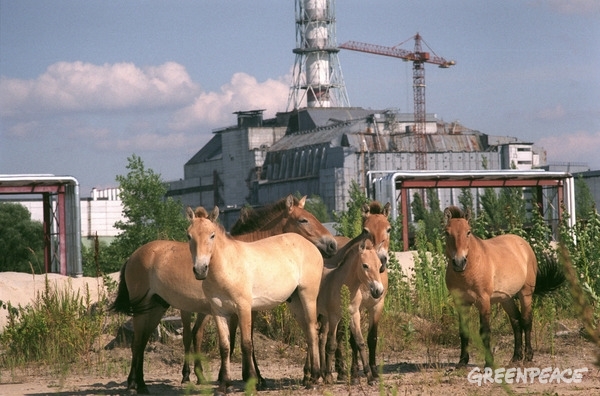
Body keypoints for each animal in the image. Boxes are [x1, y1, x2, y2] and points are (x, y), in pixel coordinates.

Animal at [110, 195, 336, 392]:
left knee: (144, 341)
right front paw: (248, 379)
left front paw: (245, 379)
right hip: (146, 308)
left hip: (157, 307)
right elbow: (239, 343)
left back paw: (141, 384)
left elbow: (241, 342)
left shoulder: (243, 309)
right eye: (303, 219)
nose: (332, 244)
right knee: (139, 342)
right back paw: (137, 384)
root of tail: (133, 256)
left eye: (309, 216)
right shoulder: (232, 310)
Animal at [318, 230, 384, 386]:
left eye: (379, 266)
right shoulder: (334, 317)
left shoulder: (354, 315)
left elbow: (360, 342)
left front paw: (370, 377)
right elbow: (332, 344)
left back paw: (320, 373)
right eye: (365, 265)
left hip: (324, 317)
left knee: (321, 338)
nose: (378, 291)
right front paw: (329, 376)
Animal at [442, 206, 564, 366]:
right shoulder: (461, 303)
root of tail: (524, 244)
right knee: (516, 321)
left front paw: (489, 363)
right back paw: (516, 356)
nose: (459, 262)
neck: (469, 269)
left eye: (468, 232)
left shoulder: (483, 301)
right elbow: (463, 331)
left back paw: (528, 356)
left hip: (525, 294)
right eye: (447, 233)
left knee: (526, 321)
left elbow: (485, 332)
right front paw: (462, 361)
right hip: (506, 299)